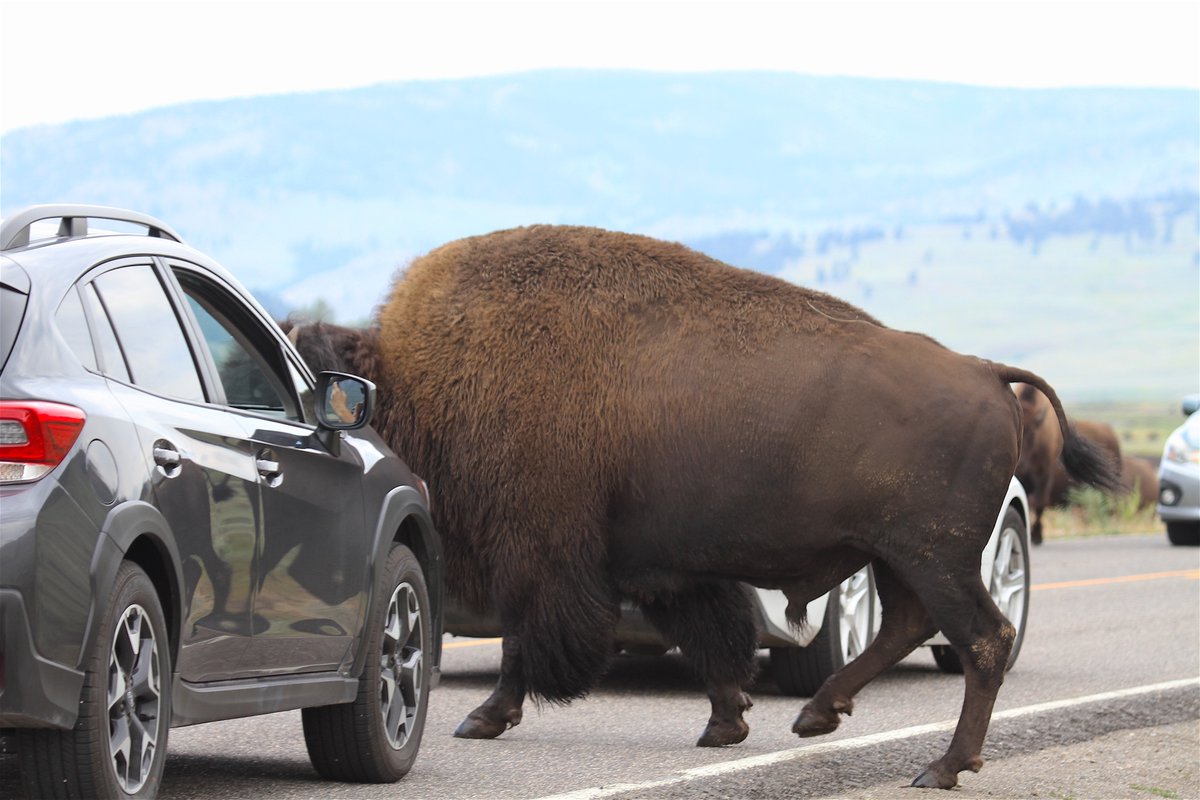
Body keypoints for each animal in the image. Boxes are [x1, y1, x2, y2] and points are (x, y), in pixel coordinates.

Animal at [288, 226, 1118, 789]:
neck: (427, 369)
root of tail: (984, 372)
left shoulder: (541, 553)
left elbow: (528, 642)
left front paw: (482, 717)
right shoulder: (659, 565)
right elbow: (711, 640)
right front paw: (727, 724)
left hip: (934, 555)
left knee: (982, 638)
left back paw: (941, 766)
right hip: (896, 557)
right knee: (912, 627)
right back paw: (818, 715)